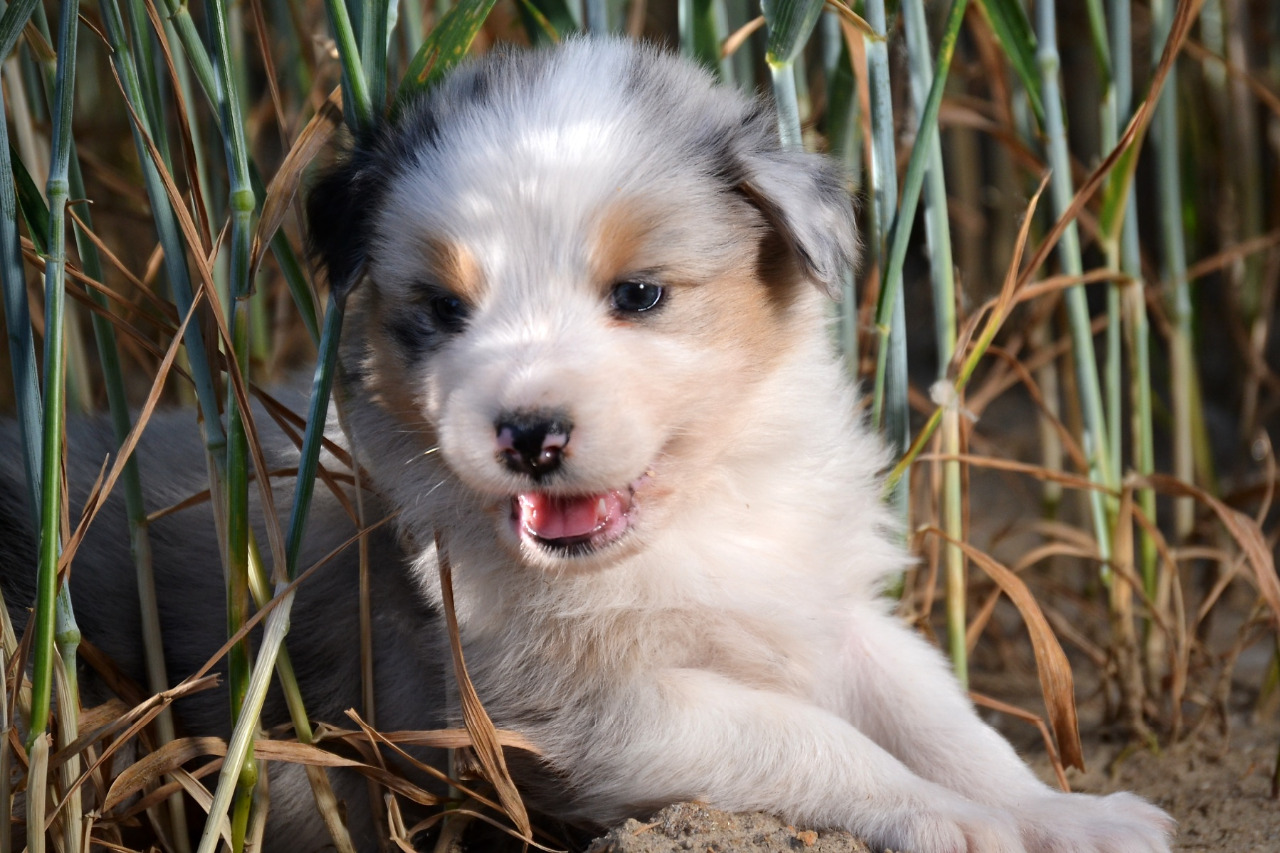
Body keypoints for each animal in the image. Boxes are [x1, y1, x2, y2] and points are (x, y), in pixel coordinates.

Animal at [1, 37, 1172, 853]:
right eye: (442, 309)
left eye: (640, 293)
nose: (528, 433)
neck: (686, 520)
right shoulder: (586, 709)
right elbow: (812, 737)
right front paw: (953, 820)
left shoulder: (824, 605)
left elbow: (944, 718)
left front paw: (1067, 814)